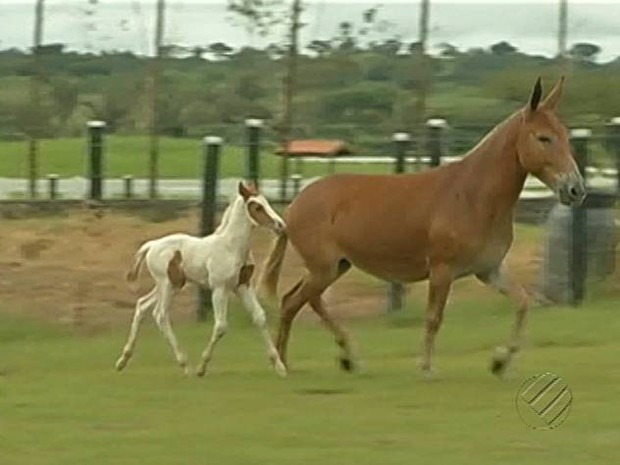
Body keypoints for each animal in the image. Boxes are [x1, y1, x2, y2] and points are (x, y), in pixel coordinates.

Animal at [260, 75, 588, 374]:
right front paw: (427, 367)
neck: (473, 196)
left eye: (565, 136)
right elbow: (434, 317)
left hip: (337, 265)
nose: (576, 190)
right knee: (299, 301)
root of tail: (294, 204)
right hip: (324, 268)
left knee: (297, 301)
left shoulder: (489, 269)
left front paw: (499, 362)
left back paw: (321, 359)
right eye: (544, 138)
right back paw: (304, 360)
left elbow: (522, 303)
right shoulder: (442, 270)